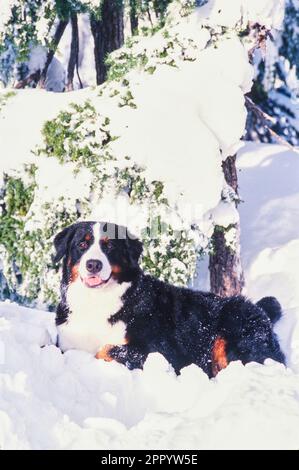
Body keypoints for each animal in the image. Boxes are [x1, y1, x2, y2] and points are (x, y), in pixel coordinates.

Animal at [53, 220, 286, 378]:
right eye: (82, 245)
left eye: (109, 246)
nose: (93, 264)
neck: (97, 301)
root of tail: (261, 310)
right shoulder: (65, 343)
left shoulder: (162, 353)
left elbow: (104, 350)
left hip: (236, 328)